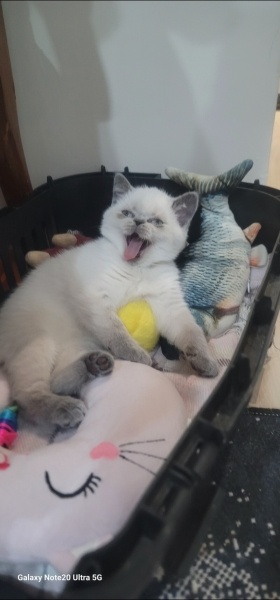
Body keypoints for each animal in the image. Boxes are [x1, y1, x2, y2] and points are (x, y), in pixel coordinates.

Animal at [0, 171, 219, 428]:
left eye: (155, 222)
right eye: (127, 213)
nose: (138, 222)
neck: (136, 269)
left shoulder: (169, 305)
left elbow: (192, 333)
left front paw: (205, 363)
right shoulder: (96, 299)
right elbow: (117, 332)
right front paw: (139, 357)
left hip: (77, 343)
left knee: (56, 381)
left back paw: (96, 364)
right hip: (38, 344)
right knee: (28, 396)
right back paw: (67, 408)